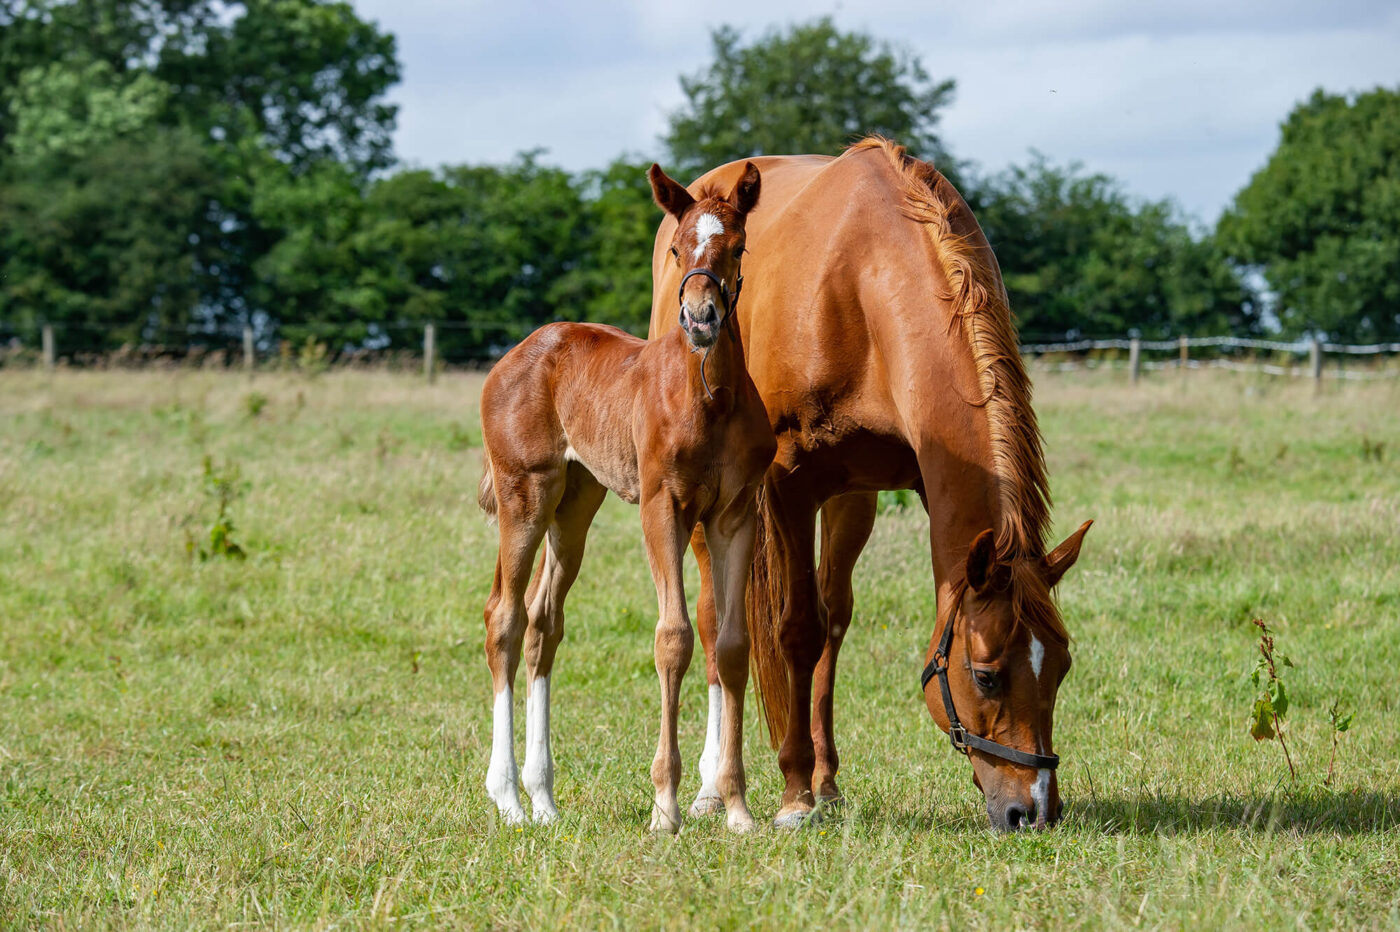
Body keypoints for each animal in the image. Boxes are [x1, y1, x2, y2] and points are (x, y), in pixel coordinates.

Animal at [476, 161, 772, 834]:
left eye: (737, 247)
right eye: (676, 248)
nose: (701, 318)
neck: (709, 398)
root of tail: (515, 355)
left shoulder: (734, 514)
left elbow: (731, 644)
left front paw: (737, 808)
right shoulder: (663, 507)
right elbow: (674, 638)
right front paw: (666, 805)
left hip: (575, 504)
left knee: (543, 622)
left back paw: (544, 798)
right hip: (524, 492)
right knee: (504, 617)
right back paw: (508, 798)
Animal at [644, 136, 1092, 828]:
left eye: (1062, 666)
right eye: (986, 675)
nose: (1035, 811)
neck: (861, 282)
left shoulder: (896, 486)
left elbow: (828, 625)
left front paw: (820, 782)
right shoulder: (788, 485)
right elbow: (796, 630)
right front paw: (794, 793)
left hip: (850, 500)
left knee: (831, 614)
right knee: (719, 620)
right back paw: (711, 789)